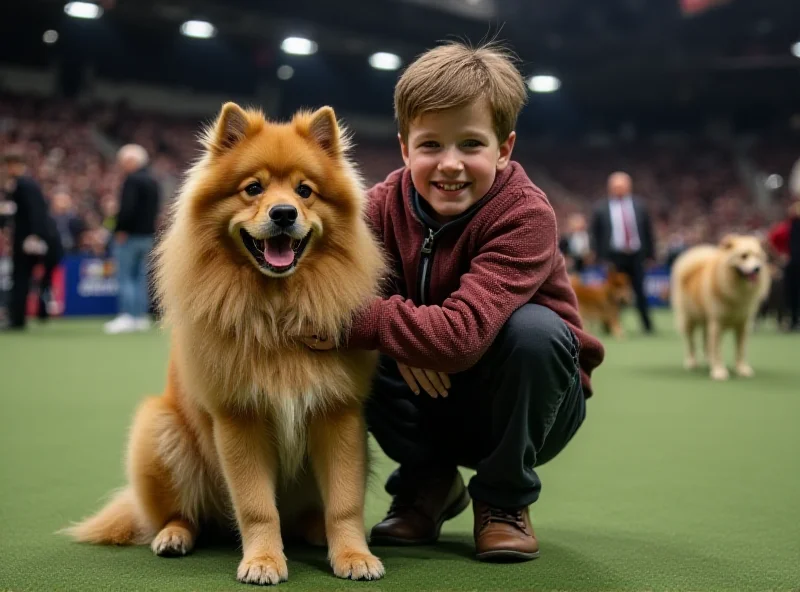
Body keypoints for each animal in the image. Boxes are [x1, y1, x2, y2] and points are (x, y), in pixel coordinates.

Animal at [63, 104, 388, 584]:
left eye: (305, 191)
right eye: (253, 188)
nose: (284, 213)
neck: (276, 310)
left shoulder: (339, 415)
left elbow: (344, 503)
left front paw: (352, 554)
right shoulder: (240, 419)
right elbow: (256, 507)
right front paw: (263, 561)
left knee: (309, 514)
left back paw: (314, 531)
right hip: (160, 432)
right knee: (183, 514)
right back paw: (174, 536)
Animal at [672, 234, 772, 382]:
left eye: (758, 256)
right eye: (744, 256)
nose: (757, 268)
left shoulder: (743, 324)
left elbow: (740, 350)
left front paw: (742, 369)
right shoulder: (717, 323)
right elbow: (718, 351)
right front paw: (719, 371)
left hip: (706, 322)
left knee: (706, 343)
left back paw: (709, 361)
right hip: (689, 319)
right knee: (691, 343)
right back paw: (692, 362)